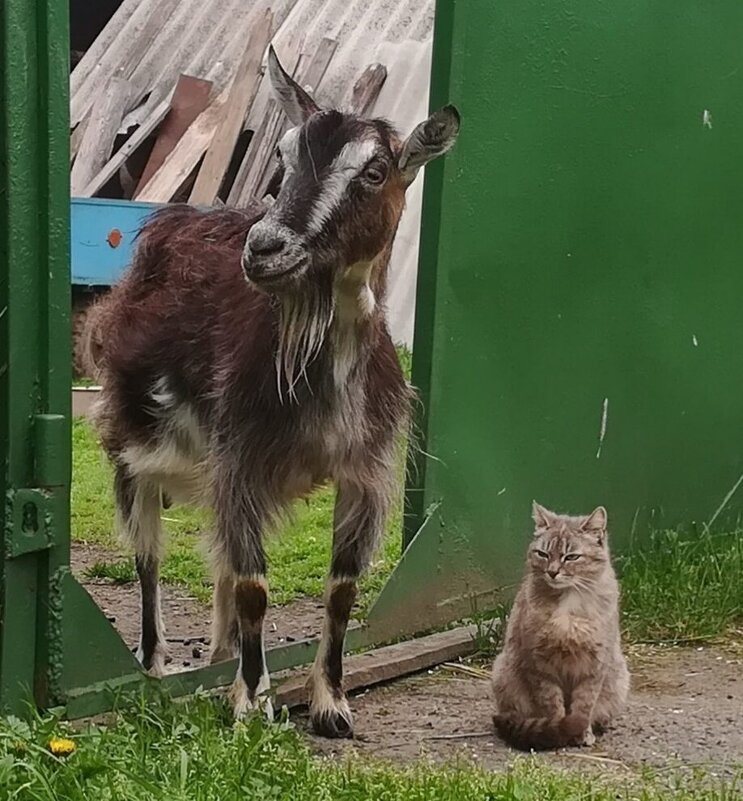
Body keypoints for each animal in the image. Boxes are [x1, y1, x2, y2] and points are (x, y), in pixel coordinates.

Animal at [84, 47, 462, 736]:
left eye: (374, 170)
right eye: (283, 158)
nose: (264, 249)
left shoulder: (363, 470)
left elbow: (339, 588)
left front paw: (331, 703)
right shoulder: (242, 459)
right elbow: (254, 584)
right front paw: (250, 703)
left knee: (216, 560)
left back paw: (221, 653)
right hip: (130, 440)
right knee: (149, 556)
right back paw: (155, 662)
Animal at [492, 500, 632, 752]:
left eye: (572, 556)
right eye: (543, 553)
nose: (552, 572)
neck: (569, 605)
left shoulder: (593, 667)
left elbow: (584, 706)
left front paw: (583, 733)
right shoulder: (540, 666)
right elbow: (553, 705)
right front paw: (561, 732)